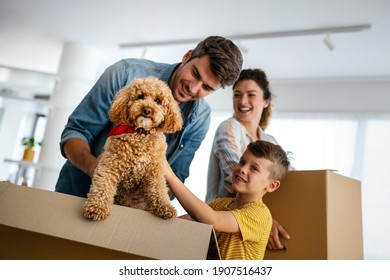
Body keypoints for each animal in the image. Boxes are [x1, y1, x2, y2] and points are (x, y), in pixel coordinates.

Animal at [82, 76, 183, 221]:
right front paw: (96, 207)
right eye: (140, 96)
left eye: (158, 100)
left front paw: (165, 207)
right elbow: (102, 185)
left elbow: (159, 190)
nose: (147, 110)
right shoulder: (110, 165)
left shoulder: (154, 172)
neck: (140, 133)